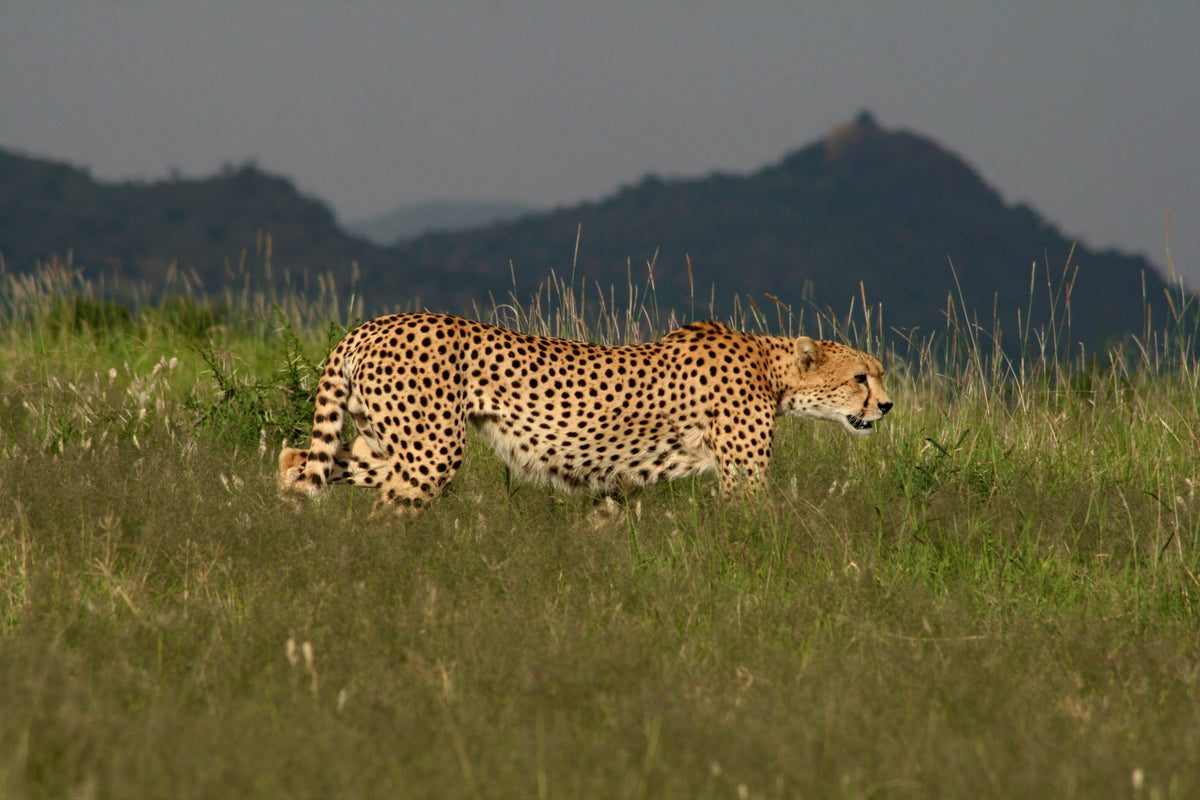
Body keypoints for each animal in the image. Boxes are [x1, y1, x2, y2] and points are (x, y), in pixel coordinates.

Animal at [277, 313, 893, 517]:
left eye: (879, 374)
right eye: (861, 377)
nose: (887, 405)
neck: (771, 365)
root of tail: (370, 325)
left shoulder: (621, 481)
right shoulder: (745, 476)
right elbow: (759, 524)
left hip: (384, 443)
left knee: (295, 459)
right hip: (431, 452)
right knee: (384, 510)